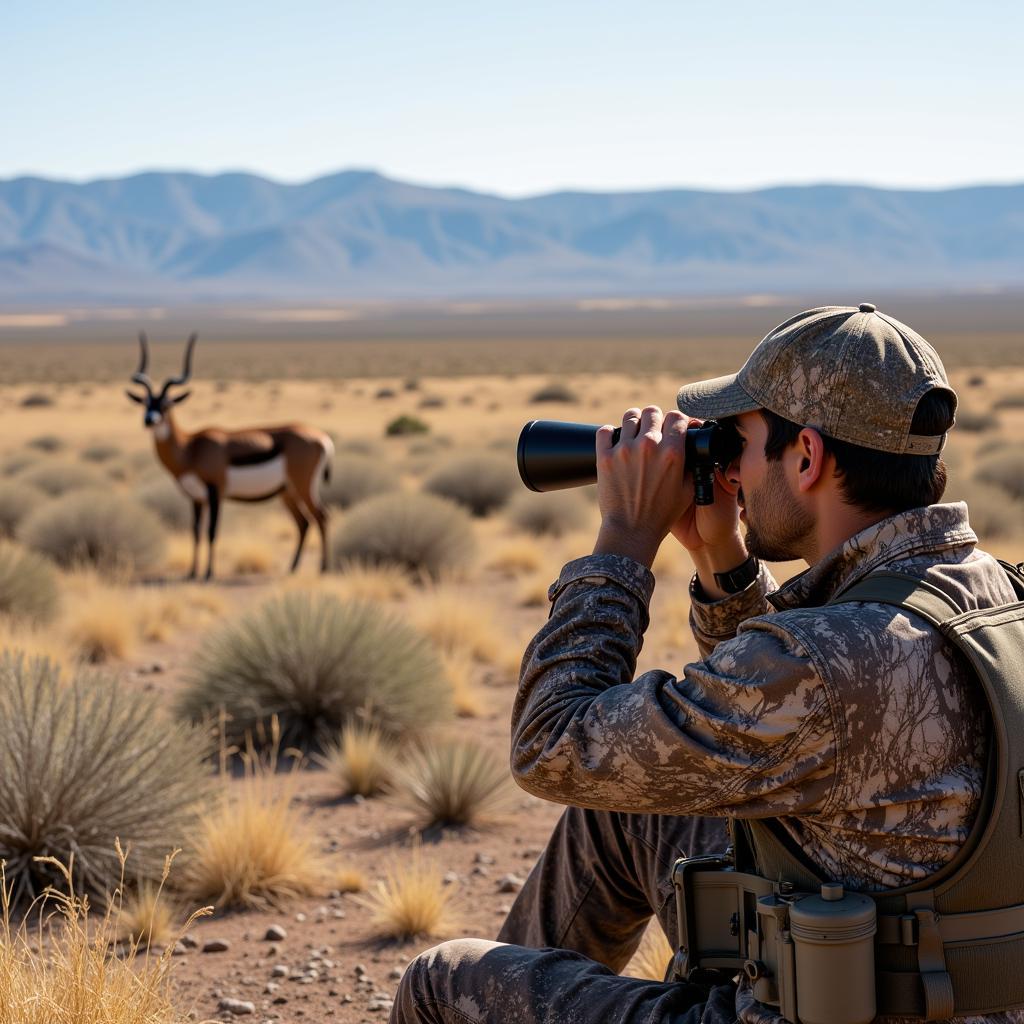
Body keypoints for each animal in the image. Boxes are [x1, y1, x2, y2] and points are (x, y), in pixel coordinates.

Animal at [123, 333, 331, 581]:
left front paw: (208, 573)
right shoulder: (196, 498)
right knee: (304, 522)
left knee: (321, 516)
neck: (191, 448)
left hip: (302, 487)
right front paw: (192, 573)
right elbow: (196, 532)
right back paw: (292, 568)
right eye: (145, 403)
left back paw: (324, 568)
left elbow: (212, 531)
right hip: (287, 491)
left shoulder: (215, 493)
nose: (149, 420)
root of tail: (321, 437)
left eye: (166, 404)